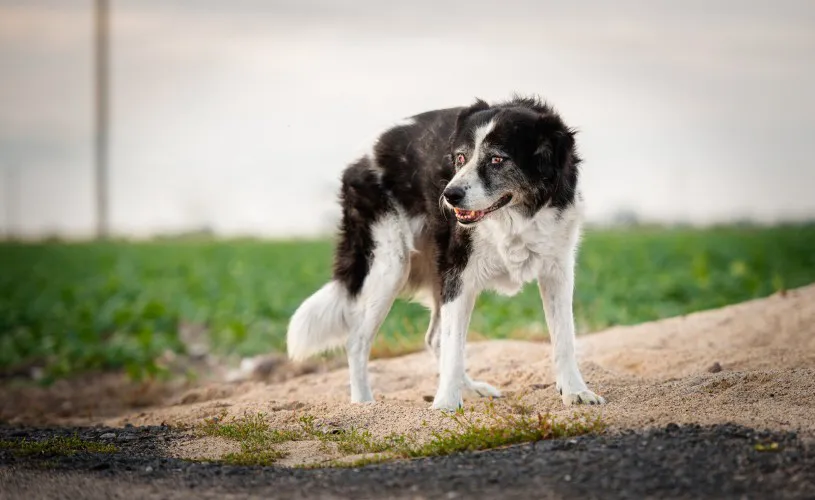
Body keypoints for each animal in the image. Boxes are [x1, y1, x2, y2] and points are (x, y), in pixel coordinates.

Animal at [286, 94, 604, 410]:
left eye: (497, 159)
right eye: (460, 158)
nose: (449, 195)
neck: (515, 218)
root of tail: (358, 159)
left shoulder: (557, 271)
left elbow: (564, 337)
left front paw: (575, 391)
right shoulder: (459, 274)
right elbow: (454, 347)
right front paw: (446, 406)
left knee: (435, 338)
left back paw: (471, 389)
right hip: (389, 266)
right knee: (358, 340)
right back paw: (363, 404)